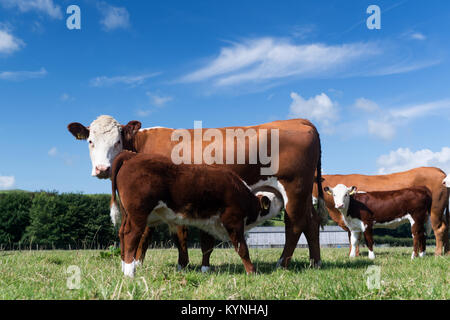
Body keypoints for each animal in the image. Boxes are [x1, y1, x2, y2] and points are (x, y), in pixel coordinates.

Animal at [110, 151, 284, 276]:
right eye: (272, 201)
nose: (282, 198)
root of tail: (131, 156)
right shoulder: (233, 220)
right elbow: (242, 248)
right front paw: (252, 272)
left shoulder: (209, 223)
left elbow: (207, 247)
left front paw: (205, 270)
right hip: (138, 213)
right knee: (131, 235)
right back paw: (130, 272)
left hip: (127, 214)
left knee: (121, 233)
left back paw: (123, 266)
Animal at [312, 168, 450, 255]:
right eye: (334, 194)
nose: (339, 204)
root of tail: (438, 170)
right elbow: (353, 238)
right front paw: (353, 255)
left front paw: (356, 255)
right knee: (442, 228)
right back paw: (446, 252)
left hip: (435, 211)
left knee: (439, 229)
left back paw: (437, 253)